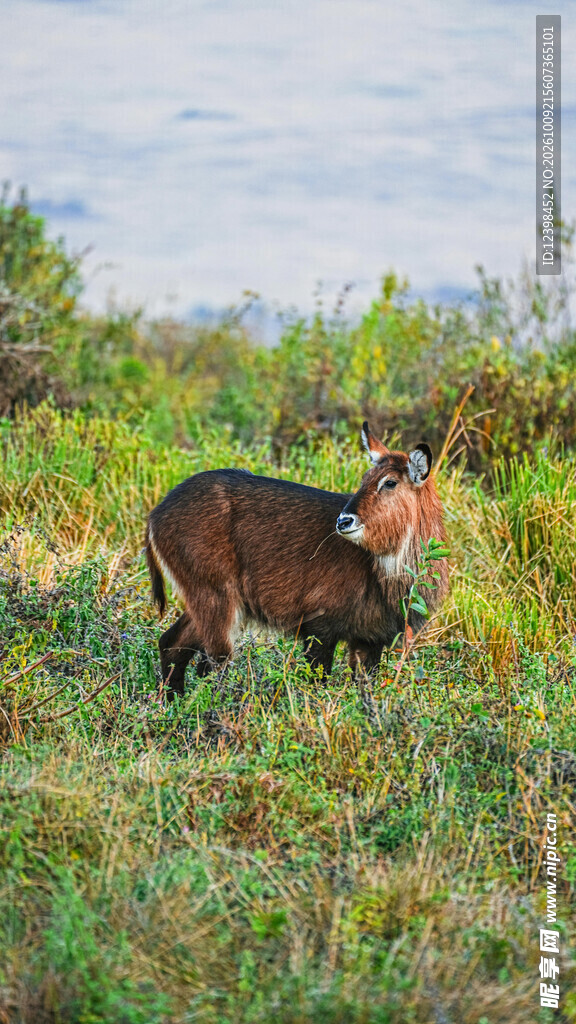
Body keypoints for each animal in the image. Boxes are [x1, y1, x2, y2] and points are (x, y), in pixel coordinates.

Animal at [145, 423, 449, 699]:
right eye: (364, 479)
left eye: (390, 482)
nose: (343, 521)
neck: (387, 572)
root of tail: (156, 514)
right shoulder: (319, 627)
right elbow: (317, 682)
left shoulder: (370, 638)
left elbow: (365, 690)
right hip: (217, 599)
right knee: (211, 664)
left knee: (171, 644)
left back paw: (171, 705)